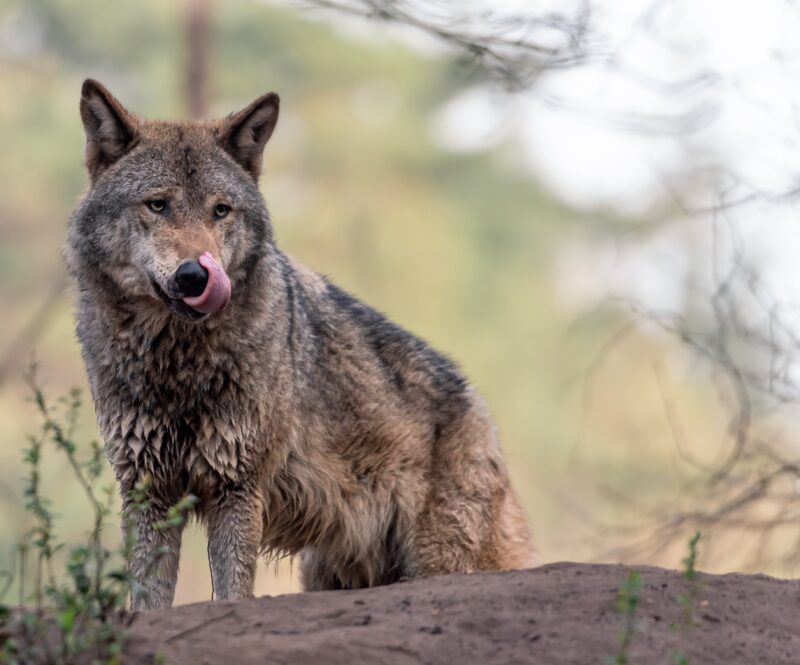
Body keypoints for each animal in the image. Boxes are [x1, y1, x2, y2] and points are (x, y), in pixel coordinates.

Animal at [65, 80, 536, 608]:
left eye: (220, 210)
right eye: (158, 205)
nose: (196, 276)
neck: (176, 363)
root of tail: (479, 406)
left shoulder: (237, 489)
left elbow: (233, 595)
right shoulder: (147, 491)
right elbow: (148, 602)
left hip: (436, 562)